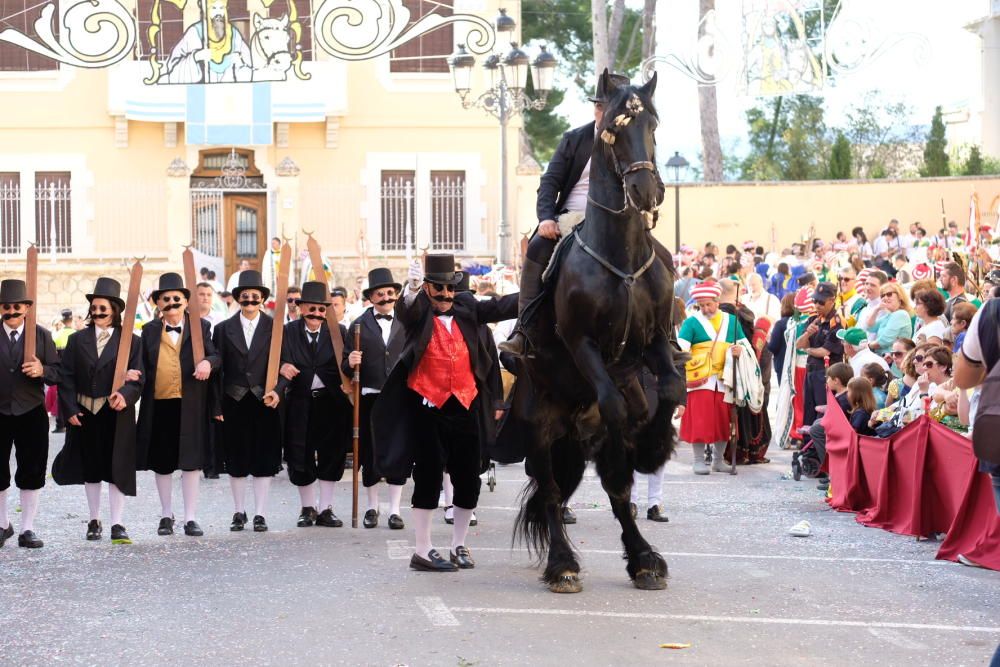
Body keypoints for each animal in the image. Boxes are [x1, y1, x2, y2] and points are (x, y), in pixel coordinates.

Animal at [512, 70, 684, 592]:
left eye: (652, 123)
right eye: (612, 129)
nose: (646, 190)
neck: (618, 258)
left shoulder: (654, 341)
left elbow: (669, 389)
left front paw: (654, 445)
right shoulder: (582, 344)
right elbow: (613, 405)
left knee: (610, 491)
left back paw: (644, 558)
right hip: (540, 425)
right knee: (551, 492)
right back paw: (562, 562)